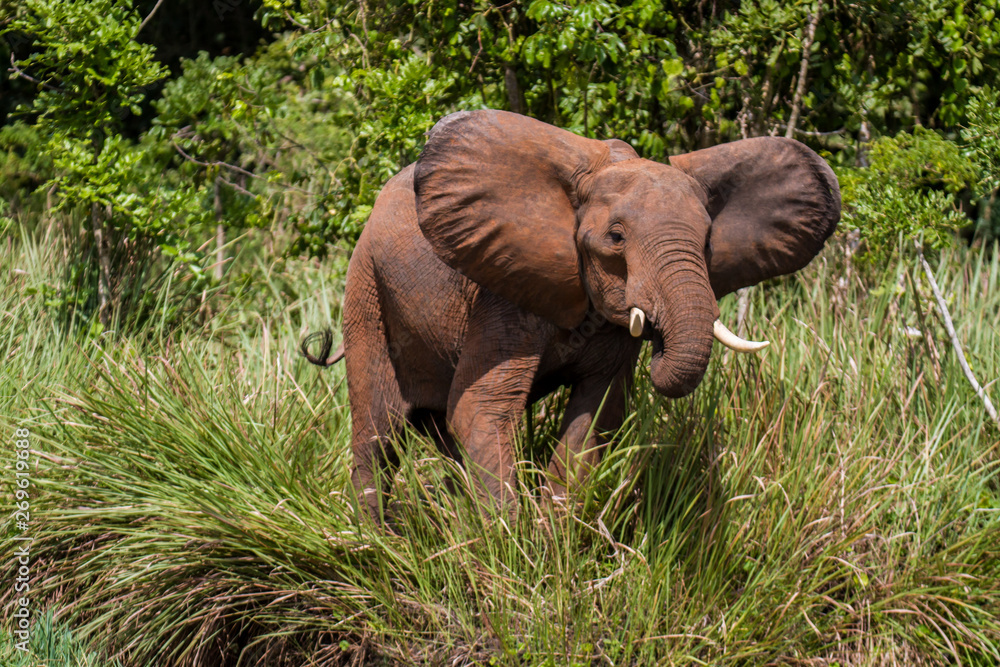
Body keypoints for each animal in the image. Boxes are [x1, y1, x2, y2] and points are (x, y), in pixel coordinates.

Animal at [304, 109, 840, 517]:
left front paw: (553, 534)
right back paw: (381, 545)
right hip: (366, 289)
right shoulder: (501, 292)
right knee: (378, 432)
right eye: (616, 238)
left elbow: (596, 412)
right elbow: (481, 408)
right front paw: (511, 553)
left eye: (708, 241)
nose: (660, 341)